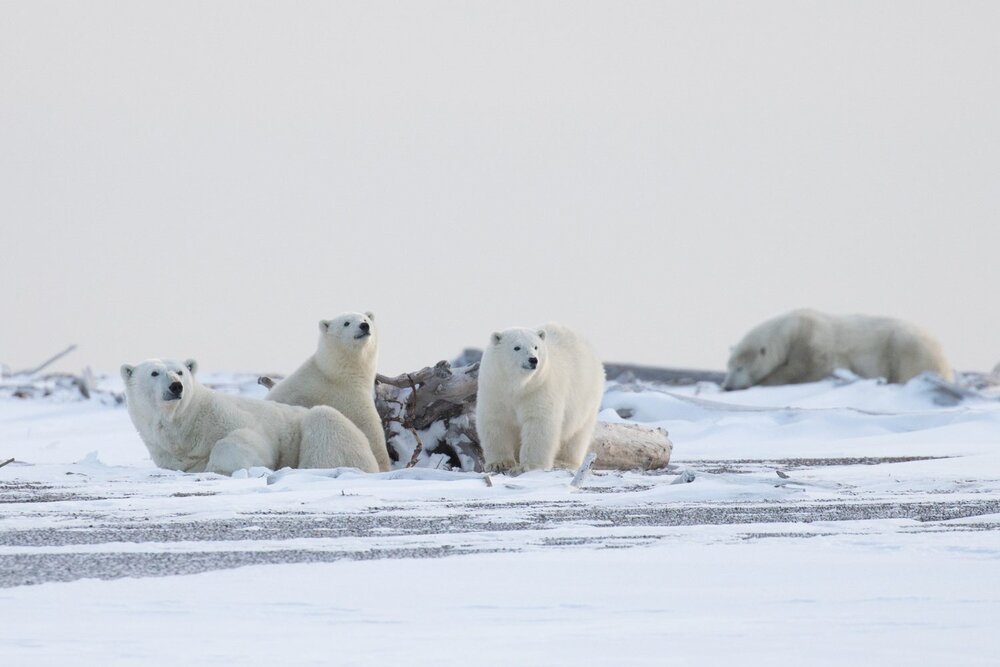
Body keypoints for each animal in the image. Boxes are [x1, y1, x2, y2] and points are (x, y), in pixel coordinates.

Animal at [121, 358, 378, 475]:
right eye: (154, 373)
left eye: (180, 371)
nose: (176, 386)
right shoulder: (167, 452)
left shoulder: (226, 416)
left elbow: (249, 440)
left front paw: (219, 466)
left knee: (323, 425)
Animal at [265, 312, 391, 472]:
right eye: (346, 323)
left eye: (365, 319)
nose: (364, 326)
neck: (333, 372)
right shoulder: (346, 396)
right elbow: (370, 428)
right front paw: (384, 465)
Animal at [476, 323, 605, 473]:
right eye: (517, 347)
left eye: (535, 347)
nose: (533, 359)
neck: (518, 386)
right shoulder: (495, 389)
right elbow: (495, 422)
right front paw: (499, 463)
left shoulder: (539, 388)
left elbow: (539, 423)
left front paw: (530, 465)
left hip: (586, 396)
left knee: (577, 434)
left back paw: (564, 462)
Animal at [722, 309, 954, 390]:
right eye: (729, 367)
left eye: (740, 368)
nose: (728, 386)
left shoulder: (813, 341)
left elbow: (806, 369)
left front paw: (769, 380)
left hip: (907, 345)